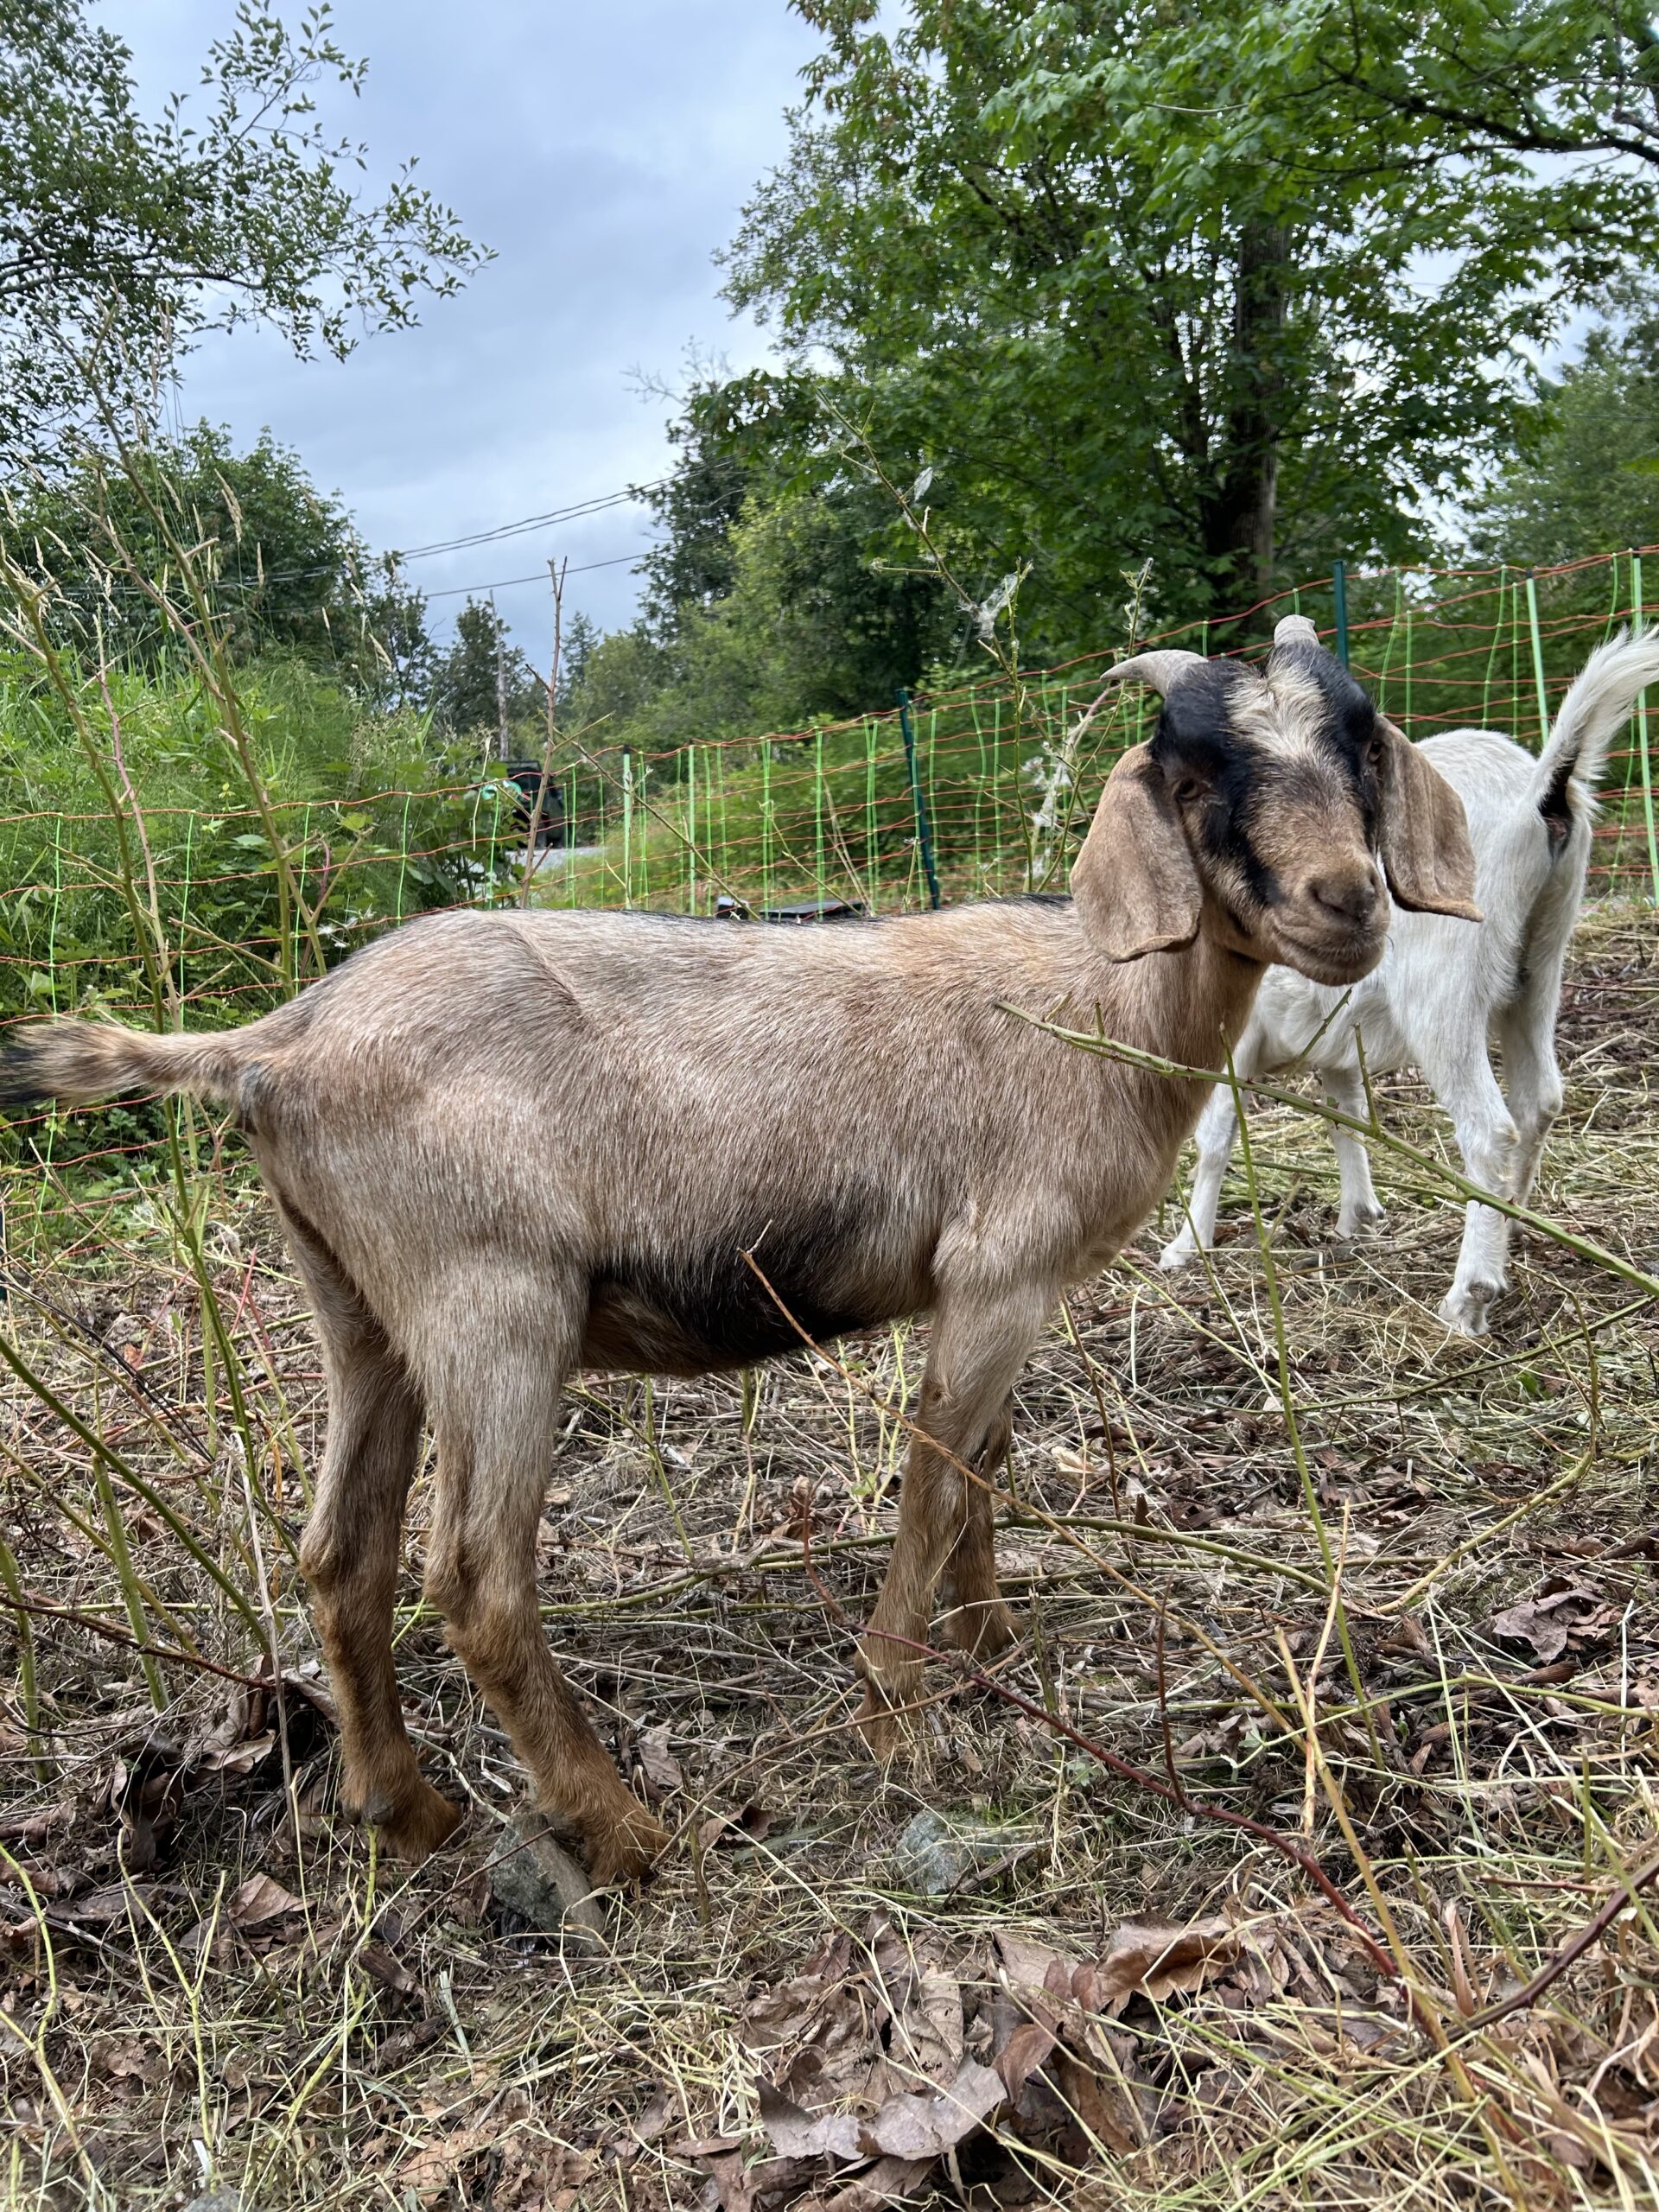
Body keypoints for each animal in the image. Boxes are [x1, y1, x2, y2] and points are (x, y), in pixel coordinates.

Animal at [0, 617, 1477, 1884]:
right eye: (1192, 771)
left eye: (1358, 742)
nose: (1345, 900)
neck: (1096, 1001)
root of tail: (277, 1044)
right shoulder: (998, 1270)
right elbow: (935, 1478)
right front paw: (898, 1712)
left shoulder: (1009, 1290)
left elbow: (984, 1465)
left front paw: (993, 1644)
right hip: (491, 1300)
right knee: (474, 1580)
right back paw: (621, 1833)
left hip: (360, 1307)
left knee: (337, 1556)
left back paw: (406, 1811)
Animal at [1158, 630, 1659, 1335]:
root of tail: (1539, 798)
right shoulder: (1332, 1036)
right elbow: (1346, 1116)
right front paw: (1357, 1221)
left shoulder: (1239, 1039)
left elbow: (1214, 1137)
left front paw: (1187, 1246)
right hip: (1541, 964)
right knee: (1541, 1098)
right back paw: (1513, 1227)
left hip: (1443, 988)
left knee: (1489, 1129)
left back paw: (1468, 1295)